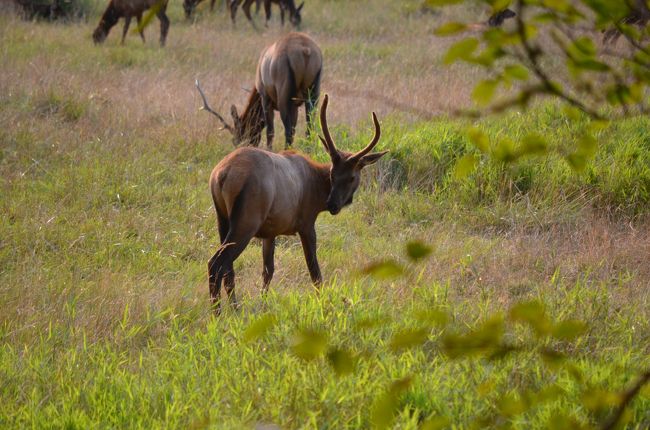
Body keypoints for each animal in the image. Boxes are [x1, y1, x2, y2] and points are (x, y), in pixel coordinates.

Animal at [205, 94, 384, 314]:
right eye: (333, 174)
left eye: (350, 177)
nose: (333, 204)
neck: (317, 189)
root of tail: (221, 175)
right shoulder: (306, 224)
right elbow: (315, 272)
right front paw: (323, 305)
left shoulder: (270, 232)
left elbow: (268, 271)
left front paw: (264, 305)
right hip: (246, 222)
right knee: (216, 263)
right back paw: (217, 314)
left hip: (222, 219)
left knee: (228, 269)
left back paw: (234, 309)